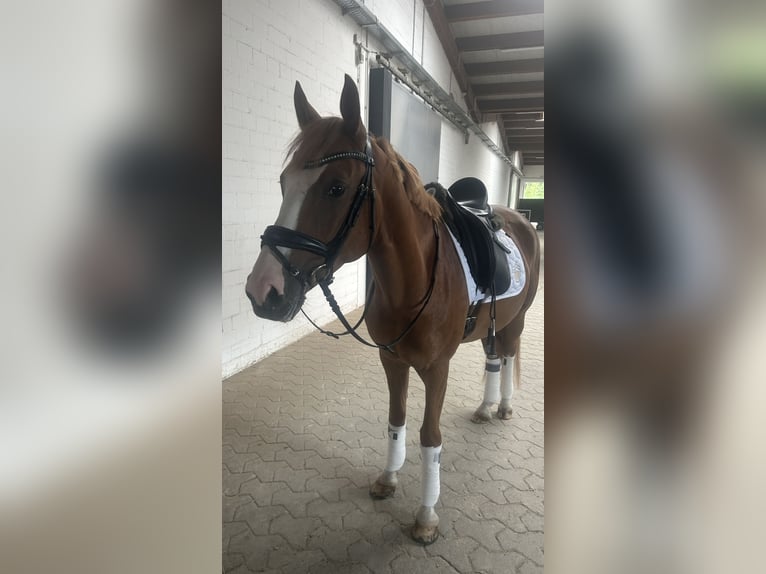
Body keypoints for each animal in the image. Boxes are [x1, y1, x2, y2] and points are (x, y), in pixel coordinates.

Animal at [245, 75, 540, 545]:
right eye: (282, 183)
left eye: (336, 187)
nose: (263, 290)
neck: (414, 281)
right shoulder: (391, 360)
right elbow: (396, 419)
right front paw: (388, 478)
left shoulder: (437, 369)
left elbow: (429, 436)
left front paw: (426, 516)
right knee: (494, 358)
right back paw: (485, 406)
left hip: (518, 319)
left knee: (509, 355)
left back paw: (505, 406)